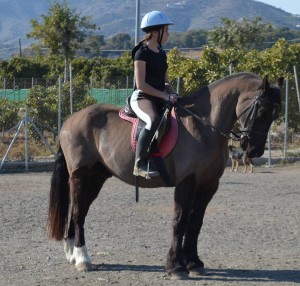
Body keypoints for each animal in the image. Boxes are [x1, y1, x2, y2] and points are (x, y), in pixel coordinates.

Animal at [47, 72, 284, 280]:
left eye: (275, 114)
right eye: (262, 111)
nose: (254, 150)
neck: (204, 125)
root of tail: (71, 120)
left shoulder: (208, 185)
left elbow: (195, 223)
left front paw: (194, 263)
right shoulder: (187, 183)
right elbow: (180, 222)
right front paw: (176, 267)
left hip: (96, 177)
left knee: (80, 212)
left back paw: (73, 254)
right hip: (81, 176)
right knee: (78, 212)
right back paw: (82, 259)